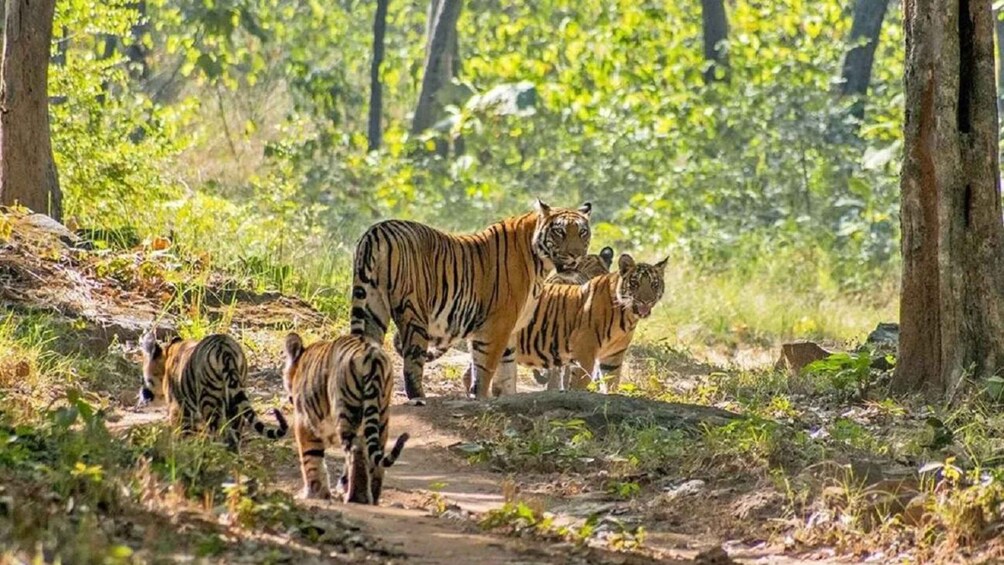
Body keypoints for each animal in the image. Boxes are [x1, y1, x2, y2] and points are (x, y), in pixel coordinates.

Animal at [138, 332, 288, 451]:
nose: (142, 394)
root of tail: (225, 350)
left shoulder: (178, 408)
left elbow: (181, 432)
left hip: (208, 400)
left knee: (215, 430)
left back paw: (215, 451)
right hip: (235, 398)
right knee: (235, 430)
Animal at [282, 332, 409, 504]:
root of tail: (371, 355)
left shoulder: (305, 422)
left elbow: (311, 459)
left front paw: (314, 494)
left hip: (345, 412)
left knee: (356, 450)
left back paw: (356, 497)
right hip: (381, 416)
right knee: (375, 457)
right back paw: (372, 497)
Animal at [349, 199, 593, 400]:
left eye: (582, 232)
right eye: (559, 232)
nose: (576, 255)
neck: (541, 264)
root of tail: (377, 230)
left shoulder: (511, 329)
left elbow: (506, 372)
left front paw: (506, 397)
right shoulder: (497, 325)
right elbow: (485, 368)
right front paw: (481, 398)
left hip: (373, 307)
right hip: (413, 311)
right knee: (413, 360)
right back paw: (418, 397)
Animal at [464, 253, 667, 395]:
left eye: (654, 284)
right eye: (635, 283)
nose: (646, 300)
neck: (627, 316)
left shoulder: (613, 357)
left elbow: (611, 383)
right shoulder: (585, 352)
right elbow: (579, 383)